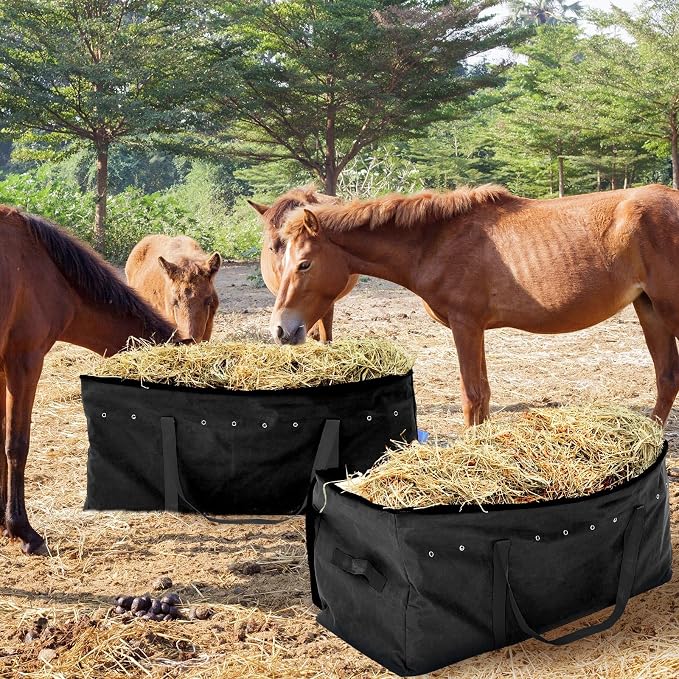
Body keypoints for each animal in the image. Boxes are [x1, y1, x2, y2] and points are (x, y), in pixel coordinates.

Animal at [270, 183, 679, 427]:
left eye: (304, 264)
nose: (281, 329)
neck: (435, 241)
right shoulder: (476, 328)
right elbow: (483, 395)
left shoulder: (465, 325)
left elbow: (472, 396)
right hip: (649, 310)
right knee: (667, 379)